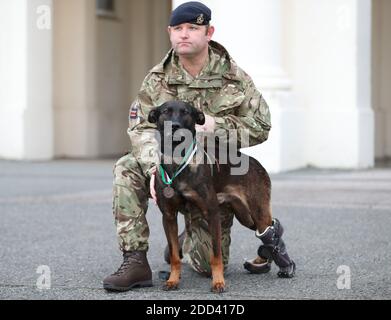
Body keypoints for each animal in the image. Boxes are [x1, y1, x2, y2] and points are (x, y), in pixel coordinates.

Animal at [149, 101, 296, 294]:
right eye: (165, 111)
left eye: (186, 112)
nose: (174, 126)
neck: (177, 161)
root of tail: (257, 163)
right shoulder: (168, 217)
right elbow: (174, 255)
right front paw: (173, 280)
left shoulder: (212, 214)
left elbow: (216, 256)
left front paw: (218, 282)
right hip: (244, 214)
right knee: (270, 228)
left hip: (257, 211)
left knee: (270, 229)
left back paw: (285, 264)